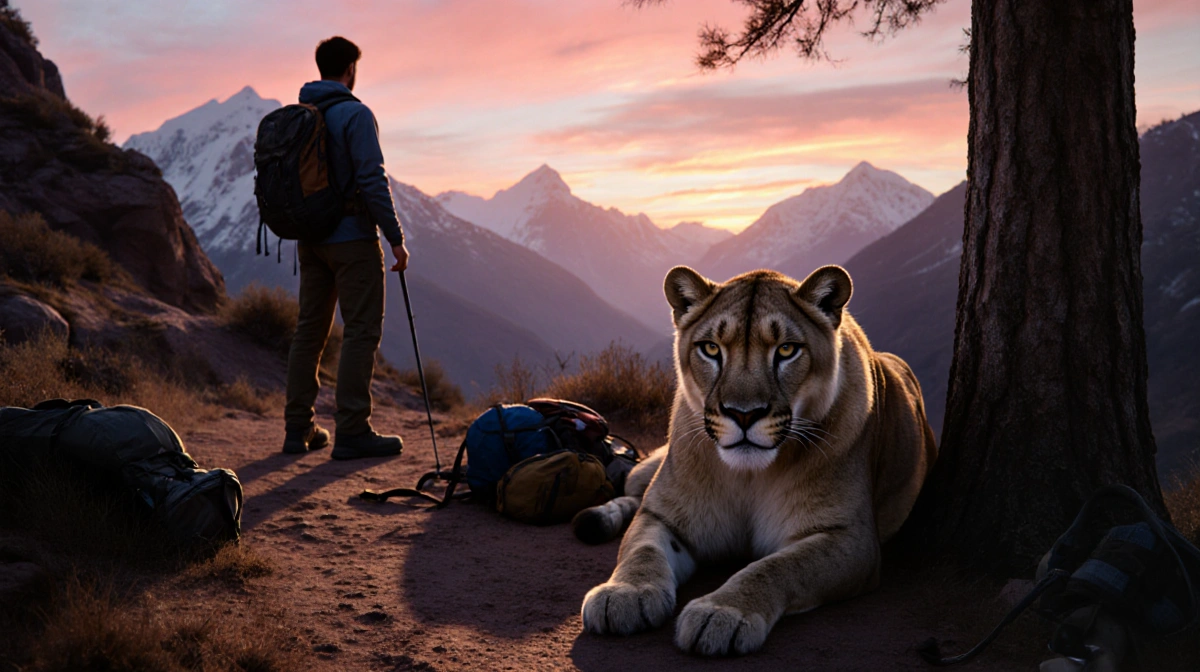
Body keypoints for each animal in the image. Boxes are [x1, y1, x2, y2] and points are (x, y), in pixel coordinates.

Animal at [574, 264, 937, 656]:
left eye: (787, 350)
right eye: (711, 349)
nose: (743, 414)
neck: (749, 477)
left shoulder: (851, 538)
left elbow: (779, 566)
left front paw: (722, 612)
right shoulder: (662, 514)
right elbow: (641, 549)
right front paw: (624, 594)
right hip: (644, 469)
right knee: (630, 491)